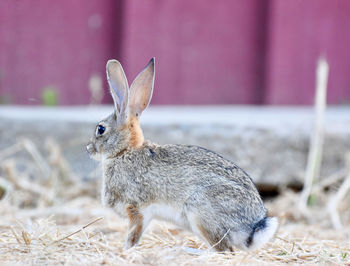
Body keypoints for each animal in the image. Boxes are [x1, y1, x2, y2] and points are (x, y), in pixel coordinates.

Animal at [86, 58, 278, 251]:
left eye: (100, 129)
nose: (88, 148)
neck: (125, 151)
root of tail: (253, 226)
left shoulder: (137, 209)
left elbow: (133, 235)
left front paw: (125, 250)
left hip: (201, 210)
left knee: (223, 250)